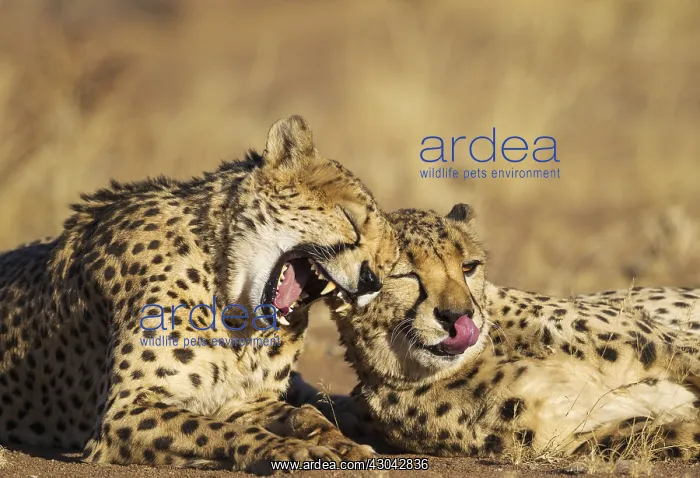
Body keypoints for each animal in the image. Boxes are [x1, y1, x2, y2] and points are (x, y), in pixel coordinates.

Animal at [0, 115, 400, 473]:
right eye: (349, 218)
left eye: (388, 259)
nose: (372, 281)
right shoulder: (124, 412)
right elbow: (219, 430)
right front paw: (291, 450)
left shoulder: (244, 400)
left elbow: (303, 414)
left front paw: (341, 443)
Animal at [286, 203, 700, 462]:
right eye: (405, 275)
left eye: (468, 266)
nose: (458, 316)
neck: (489, 353)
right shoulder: (578, 436)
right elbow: (678, 434)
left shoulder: (670, 348)